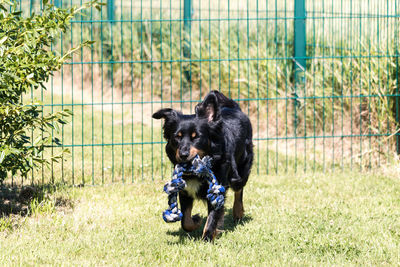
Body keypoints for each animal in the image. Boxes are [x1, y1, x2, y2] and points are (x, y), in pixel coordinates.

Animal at [153, 91, 253, 242]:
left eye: (196, 137)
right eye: (177, 137)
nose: (183, 154)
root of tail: (234, 107)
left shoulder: (216, 188)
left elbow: (212, 218)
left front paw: (207, 238)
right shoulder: (185, 189)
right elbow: (185, 221)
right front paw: (197, 221)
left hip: (241, 168)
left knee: (239, 189)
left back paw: (238, 212)